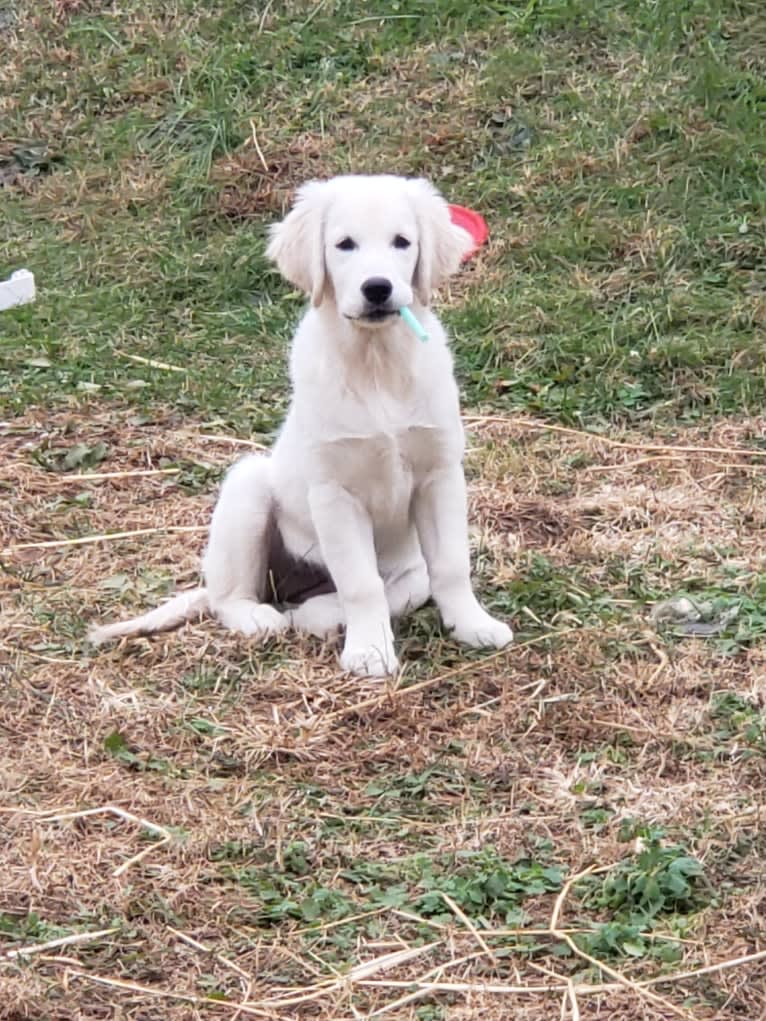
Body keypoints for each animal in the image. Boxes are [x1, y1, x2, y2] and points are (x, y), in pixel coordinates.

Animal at [89, 173, 512, 677]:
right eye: (344, 245)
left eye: (402, 242)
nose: (377, 288)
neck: (377, 365)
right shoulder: (334, 493)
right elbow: (360, 583)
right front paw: (370, 652)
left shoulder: (440, 477)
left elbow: (450, 565)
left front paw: (473, 625)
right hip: (249, 487)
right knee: (229, 596)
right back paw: (263, 617)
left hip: (407, 567)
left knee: (398, 589)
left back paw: (318, 613)